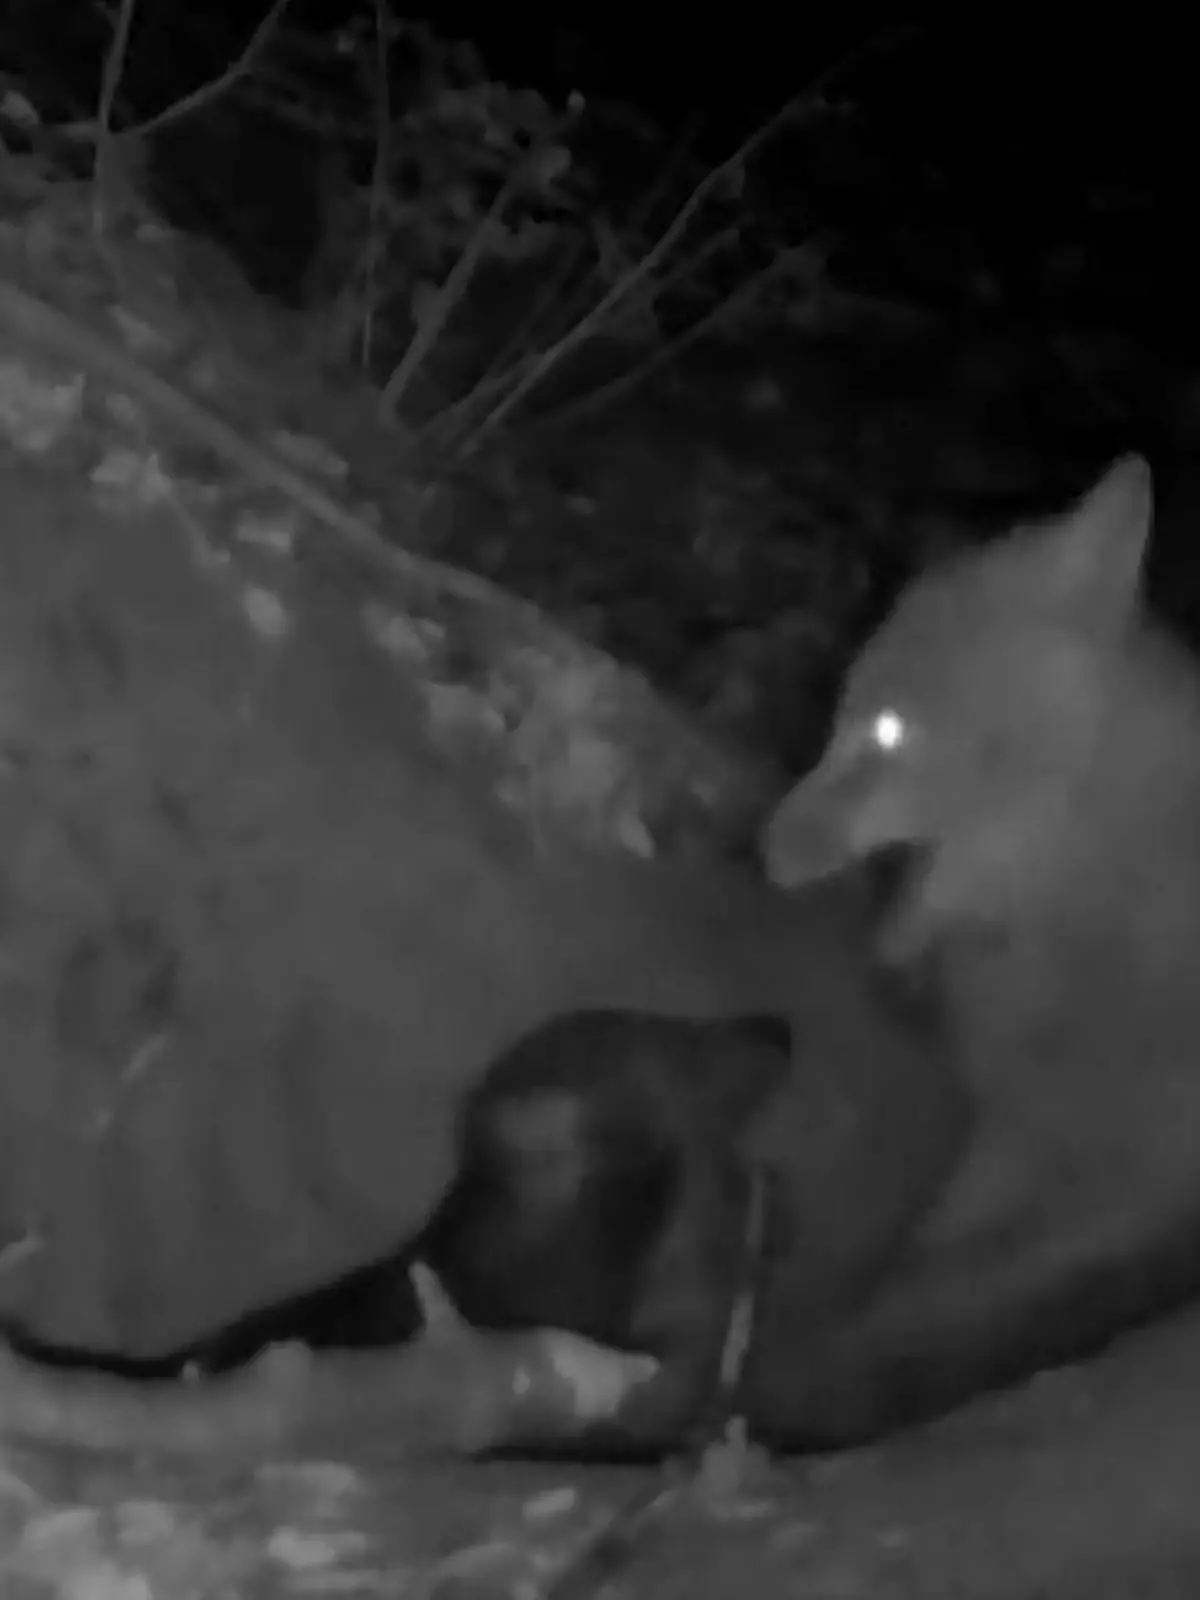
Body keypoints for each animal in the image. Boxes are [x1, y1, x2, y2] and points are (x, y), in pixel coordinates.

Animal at [754, 454, 1200, 1445]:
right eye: (840, 711)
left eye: (887, 728)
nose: (764, 846)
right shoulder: (1020, 1145)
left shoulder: (1092, 1180)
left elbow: (911, 1304)